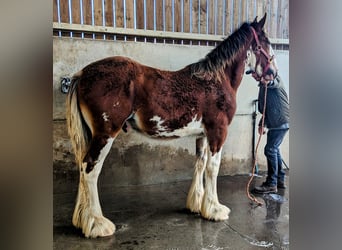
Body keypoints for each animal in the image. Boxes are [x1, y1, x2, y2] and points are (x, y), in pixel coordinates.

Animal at [65, 14, 276, 238]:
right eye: (266, 42)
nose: (273, 74)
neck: (215, 80)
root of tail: (82, 74)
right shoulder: (218, 132)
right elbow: (212, 168)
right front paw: (215, 210)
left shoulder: (203, 134)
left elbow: (200, 164)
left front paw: (196, 204)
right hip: (105, 134)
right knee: (90, 169)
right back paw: (97, 224)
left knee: (82, 169)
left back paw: (82, 220)